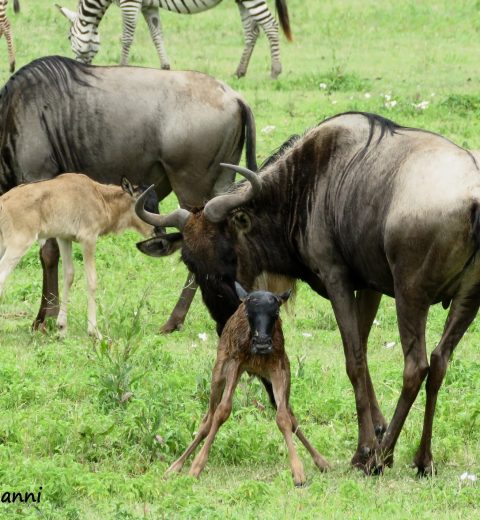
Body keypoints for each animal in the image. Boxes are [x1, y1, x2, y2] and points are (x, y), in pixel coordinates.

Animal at [0, 174, 156, 338]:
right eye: (146, 206)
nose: (158, 231)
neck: (97, 194)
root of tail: (4, 202)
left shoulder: (64, 238)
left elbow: (69, 275)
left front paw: (62, 329)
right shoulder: (88, 239)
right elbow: (92, 280)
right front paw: (94, 331)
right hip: (18, 245)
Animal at [58, 0, 292, 78]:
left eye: (69, 37)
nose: (77, 67)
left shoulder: (129, 3)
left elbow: (127, 36)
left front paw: (122, 66)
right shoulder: (148, 6)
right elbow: (156, 34)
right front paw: (165, 66)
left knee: (270, 25)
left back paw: (275, 71)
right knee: (252, 30)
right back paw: (240, 72)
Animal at [166, 282, 330, 486]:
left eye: (276, 312)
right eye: (249, 312)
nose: (262, 343)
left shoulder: (278, 366)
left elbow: (284, 416)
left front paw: (298, 472)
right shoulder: (235, 364)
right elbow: (222, 411)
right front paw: (196, 467)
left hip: (277, 376)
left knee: (289, 412)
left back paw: (321, 461)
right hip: (219, 370)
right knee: (208, 418)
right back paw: (175, 466)